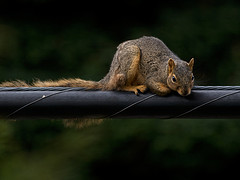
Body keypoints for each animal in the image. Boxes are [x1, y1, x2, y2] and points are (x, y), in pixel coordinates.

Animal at [0, 35, 194, 96]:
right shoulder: (154, 75)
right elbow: (157, 86)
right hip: (129, 60)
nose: (185, 92)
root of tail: (109, 75)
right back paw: (132, 87)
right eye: (174, 78)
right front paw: (166, 89)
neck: (166, 68)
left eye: (192, 77)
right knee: (117, 85)